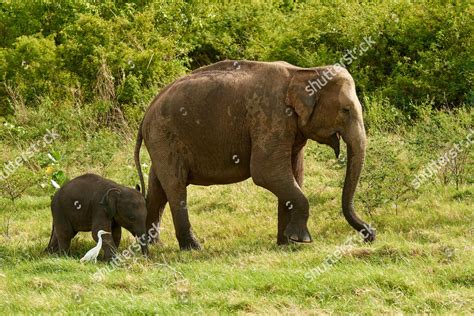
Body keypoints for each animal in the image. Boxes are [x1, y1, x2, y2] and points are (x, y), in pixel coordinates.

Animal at [134, 59, 374, 249]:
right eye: (345, 110)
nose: (370, 235)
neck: (304, 72)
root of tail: (146, 113)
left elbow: (293, 174)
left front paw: (287, 244)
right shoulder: (271, 117)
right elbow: (265, 172)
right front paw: (301, 240)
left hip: (161, 141)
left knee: (158, 187)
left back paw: (152, 245)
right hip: (164, 136)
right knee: (175, 188)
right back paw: (193, 248)